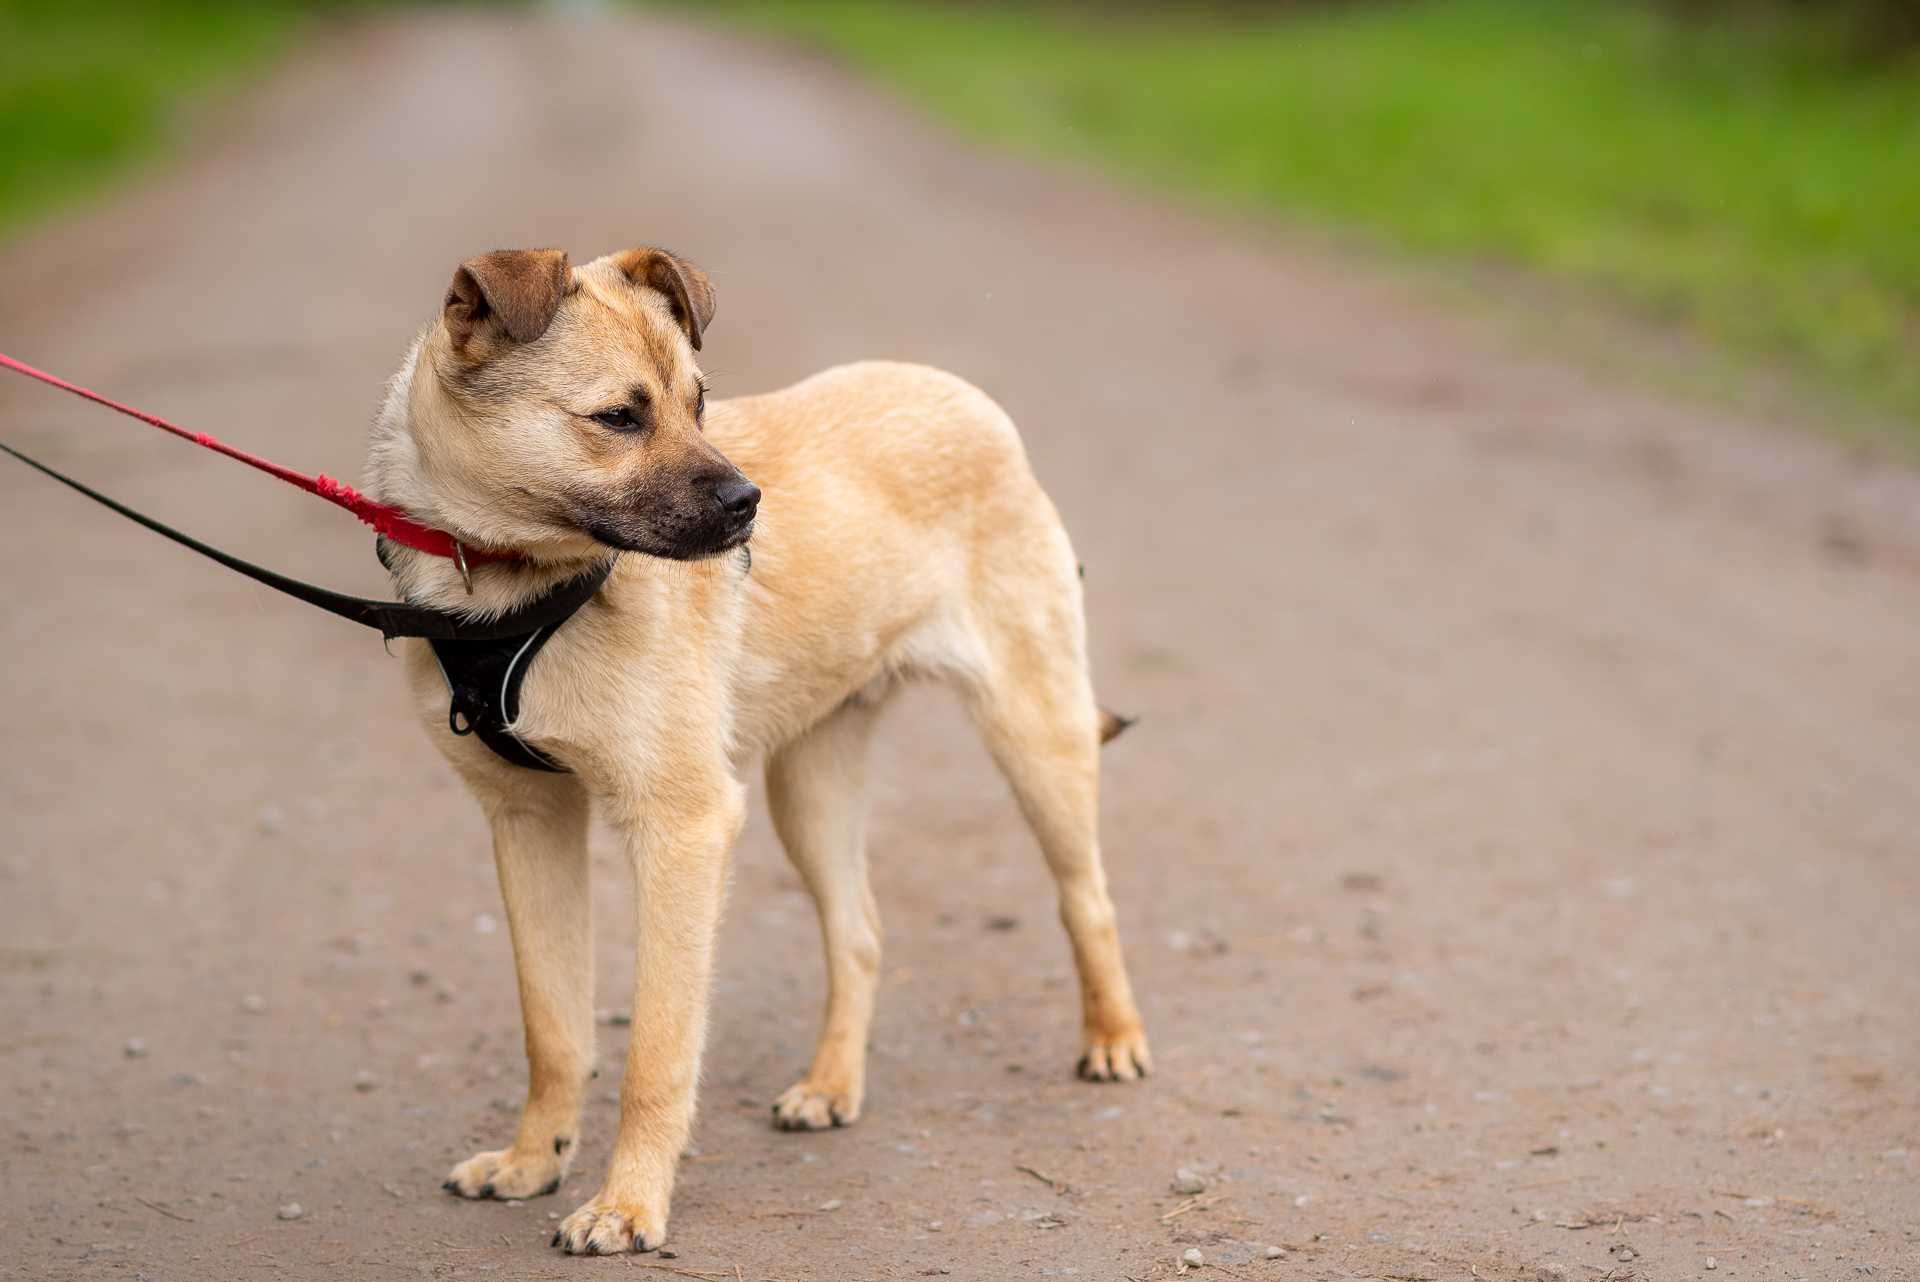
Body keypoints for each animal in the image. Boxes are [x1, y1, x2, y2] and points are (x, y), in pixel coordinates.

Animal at [364, 247, 1144, 1251]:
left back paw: (1113, 1040)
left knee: (1088, 898)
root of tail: (968, 399)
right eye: (618, 417)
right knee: (859, 933)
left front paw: (628, 1206)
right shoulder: (529, 820)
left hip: (1035, 735)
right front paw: (534, 1161)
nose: (748, 507)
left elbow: (656, 1052)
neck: (517, 586)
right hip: (809, 793)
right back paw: (831, 1087)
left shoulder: (684, 831)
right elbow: (554, 1027)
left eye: (701, 403)